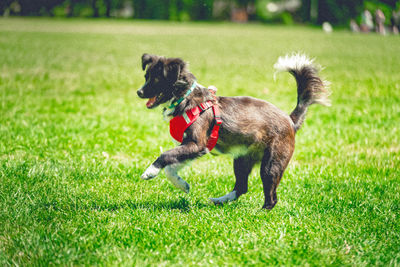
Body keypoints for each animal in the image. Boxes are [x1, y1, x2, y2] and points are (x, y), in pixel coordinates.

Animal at [136, 53, 330, 210]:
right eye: (145, 76)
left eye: (155, 79)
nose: (139, 92)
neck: (185, 98)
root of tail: (290, 120)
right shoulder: (191, 147)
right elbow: (171, 166)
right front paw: (182, 185)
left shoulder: (196, 144)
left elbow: (166, 155)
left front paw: (150, 171)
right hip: (242, 160)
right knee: (242, 187)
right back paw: (220, 200)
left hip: (272, 164)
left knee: (271, 195)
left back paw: (261, 212)